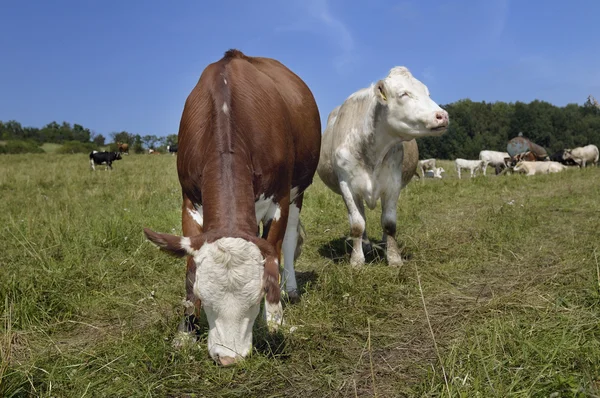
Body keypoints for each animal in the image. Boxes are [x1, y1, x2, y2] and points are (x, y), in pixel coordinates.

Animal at [142, 49, 322, 364]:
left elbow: (275, 249)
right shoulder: (189, 201)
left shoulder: (280, 199)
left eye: (257, 299)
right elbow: (189, 269)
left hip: (299, 188)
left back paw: (290, 288)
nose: (228, 359)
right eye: (204, 296)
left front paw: (273, 317)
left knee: (288, 242)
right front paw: (185, 333)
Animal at [316, 65, 448, 268]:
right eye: (403, 94)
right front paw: (357, 260)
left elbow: (389, 223)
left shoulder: (393, 183)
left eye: (427, 93)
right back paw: (365, 244)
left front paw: (394, 258)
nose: (443, 116)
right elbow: (357, 224)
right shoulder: (347, 185)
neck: (373, 151)